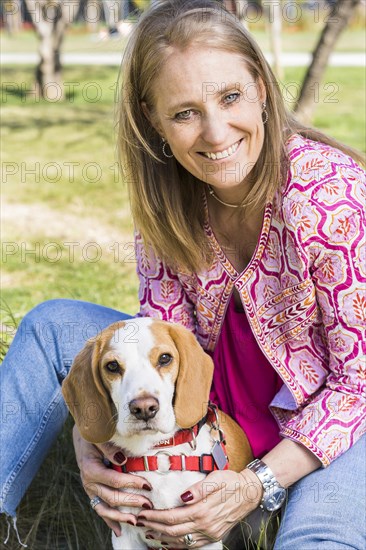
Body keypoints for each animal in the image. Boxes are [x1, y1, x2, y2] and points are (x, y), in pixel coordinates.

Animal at [62, 320, 252, 550]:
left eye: (164, 358)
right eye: (112, 366)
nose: (144, 408)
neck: (157, 452)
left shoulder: (204, 537)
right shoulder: (125, 535)